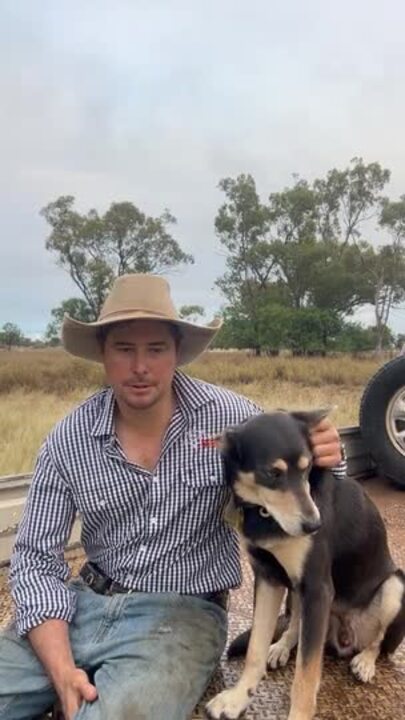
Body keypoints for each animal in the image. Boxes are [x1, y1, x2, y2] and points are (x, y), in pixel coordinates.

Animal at [205, 410, 404, 720]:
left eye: (307, 467)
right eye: (272, 473)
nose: (314, 525)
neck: (266, 514)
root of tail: (343, 636)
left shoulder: (318, 587)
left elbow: (306, 673)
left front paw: (298, 713)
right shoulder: (269, 578)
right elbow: (255, 649)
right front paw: (238, 697)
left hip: (395, 585)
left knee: (379, 640)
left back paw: (365, 661)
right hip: (299, 592)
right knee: (296, 623)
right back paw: (283, 645)